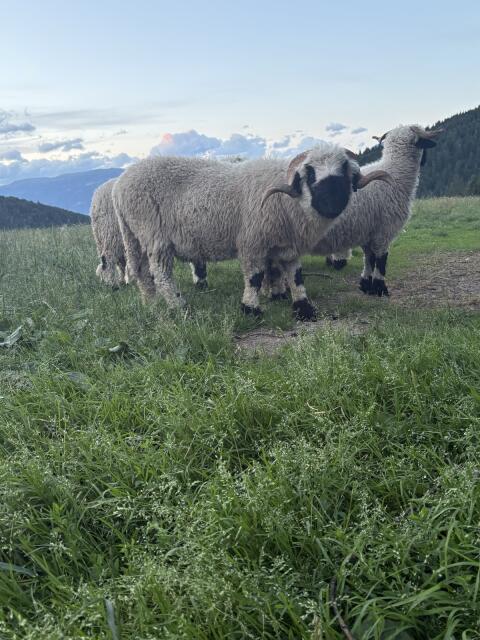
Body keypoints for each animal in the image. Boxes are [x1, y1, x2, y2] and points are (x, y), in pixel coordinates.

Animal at [112, 144, 390, 320]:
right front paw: (250, 309)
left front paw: (303, 308)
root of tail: (120, 185)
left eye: (344, 170)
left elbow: (295, 276)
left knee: (142, 272)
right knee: (161, 273)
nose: (333, 204)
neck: (286, 201)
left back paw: (151, 304)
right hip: (154, 234)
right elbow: (255, 278)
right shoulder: (252, 241)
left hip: (134, 235)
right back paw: (179, 306)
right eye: (309, 174)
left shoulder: (287, 245)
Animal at [264, 125, 442, 298]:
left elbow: (369, 259)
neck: (396, 174)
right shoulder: (383, 231)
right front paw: (380, 289)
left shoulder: (367, 232)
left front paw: (366, 286)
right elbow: (381, 261)